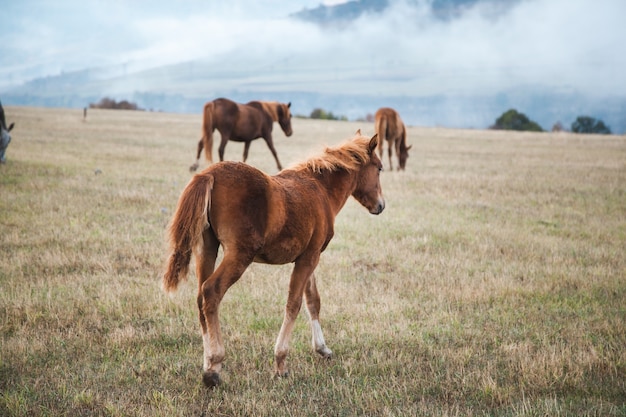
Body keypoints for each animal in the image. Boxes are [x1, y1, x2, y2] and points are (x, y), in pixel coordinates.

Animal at [163, 130, 382, 386]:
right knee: (211, 291)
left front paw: (322, 349)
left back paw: (207, 362)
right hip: (239, 255)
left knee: (200, 297)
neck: (320, 190)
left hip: (207, 248)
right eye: (379, 168)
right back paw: (214, 367)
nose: (380, 206)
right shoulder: (308, 259)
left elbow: (313, 300)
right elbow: (294, 304)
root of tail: (209, 174)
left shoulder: (309, 256)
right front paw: (281, 363)